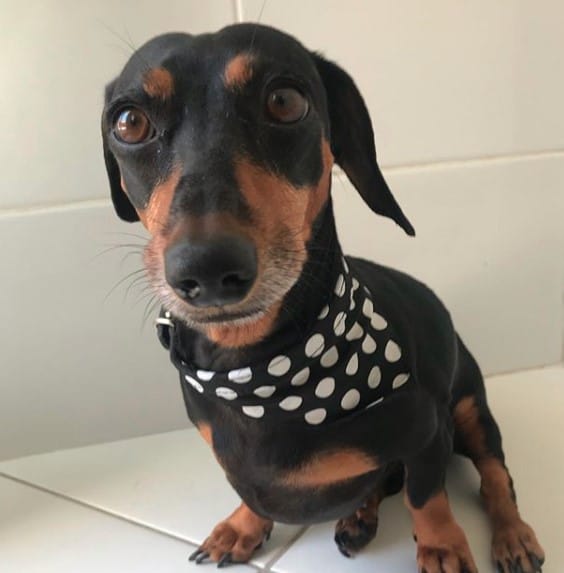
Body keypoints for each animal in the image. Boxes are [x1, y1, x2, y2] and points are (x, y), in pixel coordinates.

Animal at [101, 24, 544, 572]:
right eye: (128, 122)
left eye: (285, 101)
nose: (205, 268)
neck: (261, 370)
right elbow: (251, 493)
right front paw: (243, 527)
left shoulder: (429, 433)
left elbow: (427, 496)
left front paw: (443, 545)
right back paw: (358, 517)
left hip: (471, 410)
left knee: (495, 477)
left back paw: (512, 535)